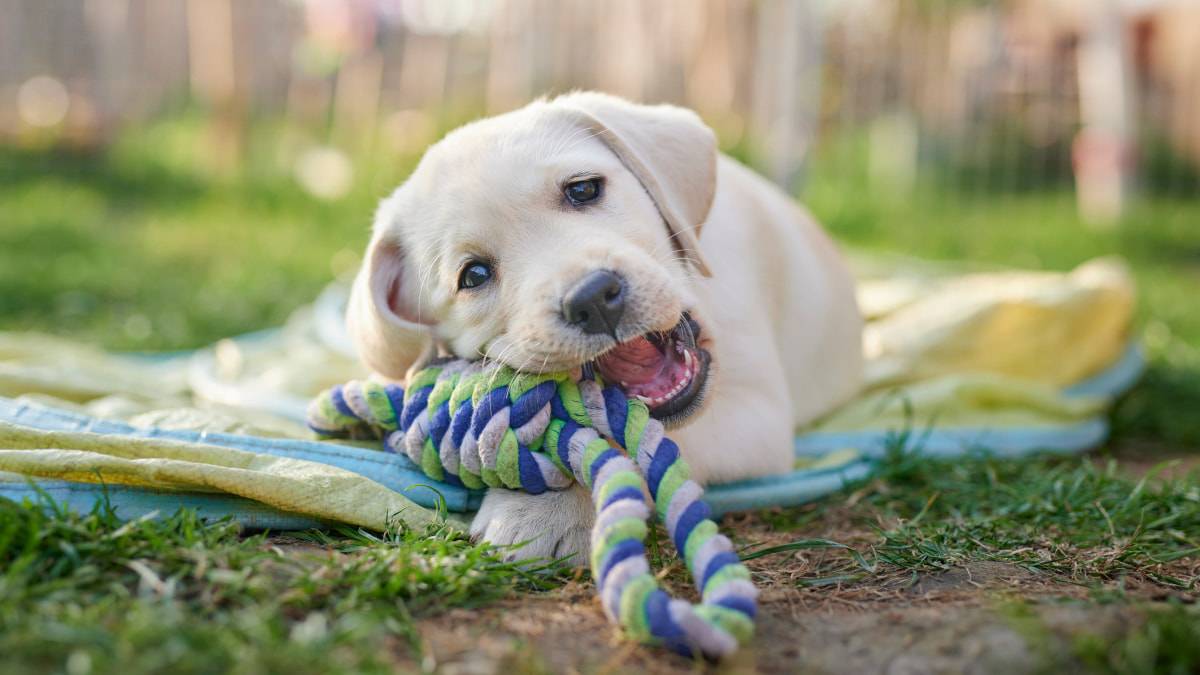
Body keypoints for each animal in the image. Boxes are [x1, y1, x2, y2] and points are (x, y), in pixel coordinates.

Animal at [348, 90, 864, 562]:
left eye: (583, 189)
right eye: (473, 275)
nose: (593, 299)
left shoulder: (759, 416)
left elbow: (627, 441)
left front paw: (546, 511)